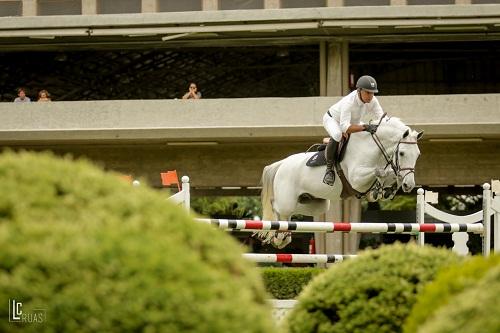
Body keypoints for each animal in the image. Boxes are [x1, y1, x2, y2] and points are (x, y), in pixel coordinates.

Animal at [258, 115, 422, 248]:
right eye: (402, 153)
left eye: (418, 155)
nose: (409, 185)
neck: (371, 147)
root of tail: (281, 164)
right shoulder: (356, 179)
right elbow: (380, 171)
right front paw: (379, 189)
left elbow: (389, 174)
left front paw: (386, 189)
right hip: (287, 200)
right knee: (277, 207)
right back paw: (277, 234)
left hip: (316, 204)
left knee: (292, 213)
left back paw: (282, 237)